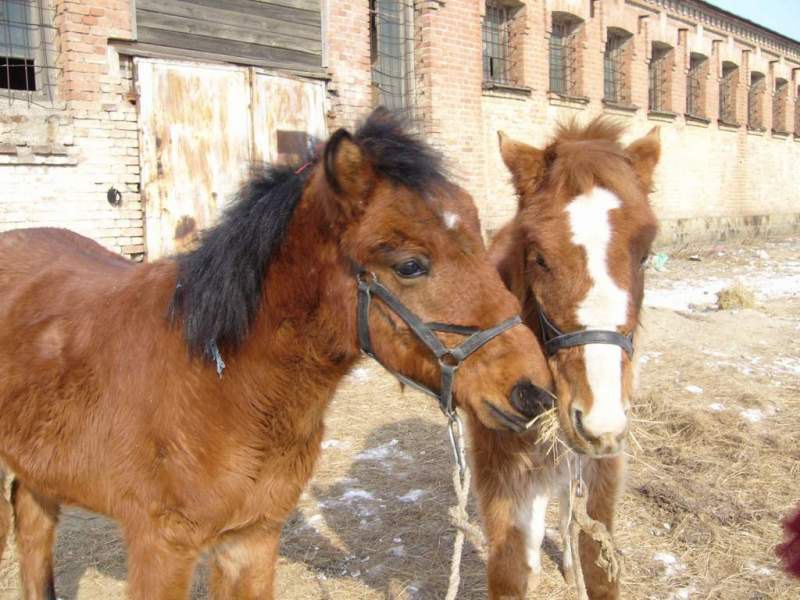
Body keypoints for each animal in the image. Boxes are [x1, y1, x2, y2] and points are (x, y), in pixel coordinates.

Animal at [468, 118, 664, 600]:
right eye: (538, 257)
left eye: (645, 255)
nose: (597, 421)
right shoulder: (501, 473)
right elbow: (511, 567)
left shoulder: (604, 470)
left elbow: (598, 562)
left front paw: (578, 567)